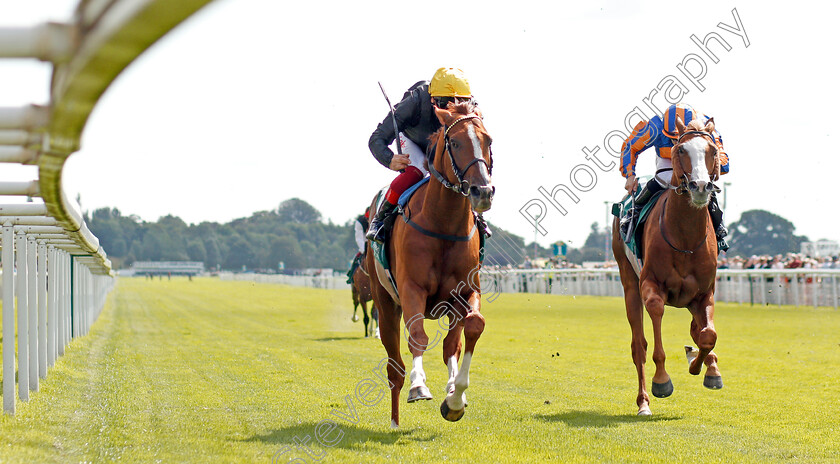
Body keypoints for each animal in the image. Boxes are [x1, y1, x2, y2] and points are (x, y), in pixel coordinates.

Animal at [366, 101, 496, 428]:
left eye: (488, 141)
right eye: (455, 142)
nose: (483, 192)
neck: (443, 224)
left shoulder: (465, 292)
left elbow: (472, 327)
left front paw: (455, 398)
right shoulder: (411, 288)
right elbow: (418, 337)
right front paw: (419, 386)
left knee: (451, 345)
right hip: (385, 301)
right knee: (394, 366)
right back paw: (395, 420)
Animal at [612, 117, 724, 416]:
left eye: (712, 150)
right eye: (680, 150)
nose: (700, 187)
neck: (685, 238)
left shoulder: (704, 292)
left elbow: (708, 335)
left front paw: (705, 368)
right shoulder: (651, 284)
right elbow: (655, 318)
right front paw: (662, 380)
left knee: (697, 330)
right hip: (629, 283)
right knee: (638, 345)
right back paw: (643, 403)